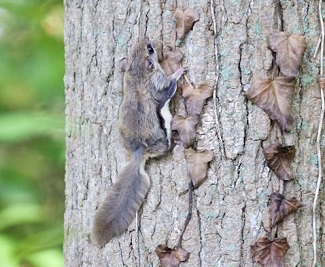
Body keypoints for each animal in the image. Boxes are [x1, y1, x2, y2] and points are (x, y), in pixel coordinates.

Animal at [92, 37, 184, 247]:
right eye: (149, 49)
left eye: (141, 47)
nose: (147, 38)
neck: (136, 75)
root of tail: (138, 153)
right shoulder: (159, 84)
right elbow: (170, 86)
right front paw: (180, 71)